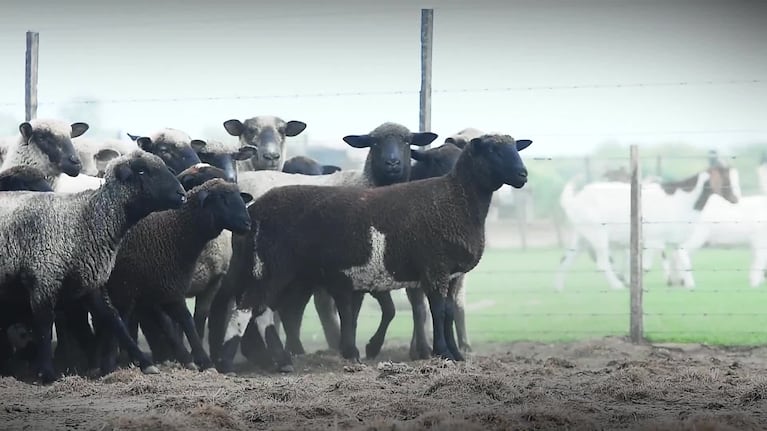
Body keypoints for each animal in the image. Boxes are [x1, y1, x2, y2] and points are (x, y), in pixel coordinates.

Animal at [0, 150, 187, 384]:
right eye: (142, 171)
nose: (182, 194)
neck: (85, 219)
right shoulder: (43, 278)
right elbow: (44, 325)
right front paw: (47, 374)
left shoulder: (92, 281)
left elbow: (113, 319)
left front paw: (145, 363)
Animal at [95, 179, 254, 374]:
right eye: (222, 198)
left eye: (239, 197)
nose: (247, 223)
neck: (173, 233)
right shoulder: (136, 288)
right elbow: (182, 321)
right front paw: (203, 361)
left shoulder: (164, 289)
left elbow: (181, 321)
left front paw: (194, 360)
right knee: (114, 319)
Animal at [213, 133, 532, 372]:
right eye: (493, 150)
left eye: (515, 148)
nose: (522, 175)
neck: (456, 200)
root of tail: (254, 209)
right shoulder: (435, 268)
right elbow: (438, 311)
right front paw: (443, 353)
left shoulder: (451, 273)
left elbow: (449, 313)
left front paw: (456, 354)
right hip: (271, 266)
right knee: (247, 310)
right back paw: (229, 362)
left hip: (274, 270)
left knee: (263, 311)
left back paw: (279, 361)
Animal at [556, 157, 740, 292]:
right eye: (726, 179)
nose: (736, 199)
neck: (682, 198)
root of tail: (574, 200)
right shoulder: (654, 239)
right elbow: (645, 267)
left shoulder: (677, 240)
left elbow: (683, 260)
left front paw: (687, 284)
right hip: (598, 234)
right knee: (602, 264)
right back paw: (617, 285)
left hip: (582, 236)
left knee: (566, 259)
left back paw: (558, 287)